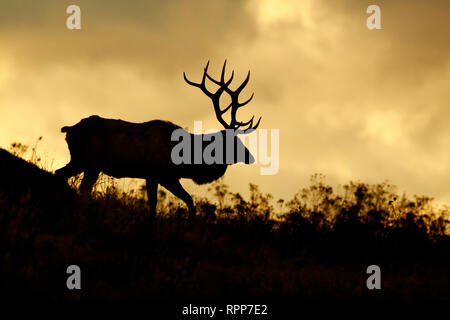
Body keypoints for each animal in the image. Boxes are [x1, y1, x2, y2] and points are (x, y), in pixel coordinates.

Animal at [55, 61, 260, 218]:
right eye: (233, 141)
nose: (250, 157)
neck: (187, 160)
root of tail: (68, 129)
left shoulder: (167, 177)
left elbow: (188, 200)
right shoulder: (156, 174)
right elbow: (156, 204)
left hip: (91, 166)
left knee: (79, 186)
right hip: (84, 160)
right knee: (62, 176)